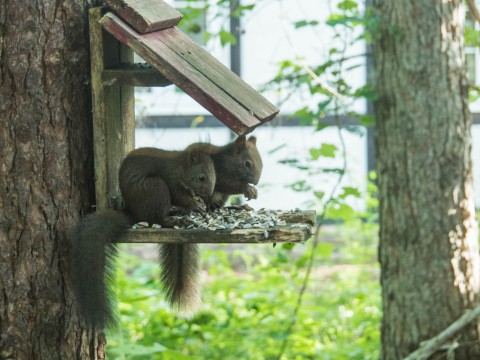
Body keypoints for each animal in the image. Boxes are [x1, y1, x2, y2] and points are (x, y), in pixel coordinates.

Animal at [70, 135, 262, 330]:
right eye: (247, 163)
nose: (255, 181)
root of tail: (133, 213)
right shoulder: (177, 178)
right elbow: (202, 189)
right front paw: (243, 189)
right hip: (154, 187)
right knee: (159, 216)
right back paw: (178, 218)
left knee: (214, 206)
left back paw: (230, 207)